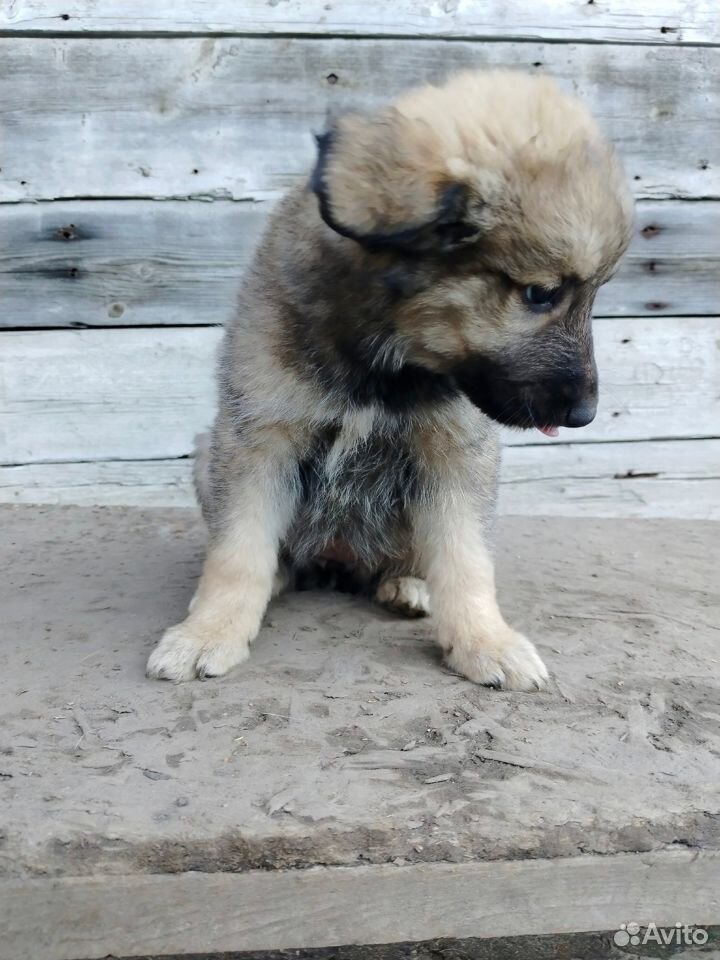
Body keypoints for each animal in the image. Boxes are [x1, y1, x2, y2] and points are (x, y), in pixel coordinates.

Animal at [149, 71, 632, 688]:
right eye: (540, 293)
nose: (584, 416)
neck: (385, 360)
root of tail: (337, 561)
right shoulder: (259, 437)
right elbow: (238, 552)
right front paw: (209, 631)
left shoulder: (455, 453)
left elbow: (466, 558)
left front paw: (485, 641)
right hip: (208, 452)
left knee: (412, 560)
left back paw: (409, 586)